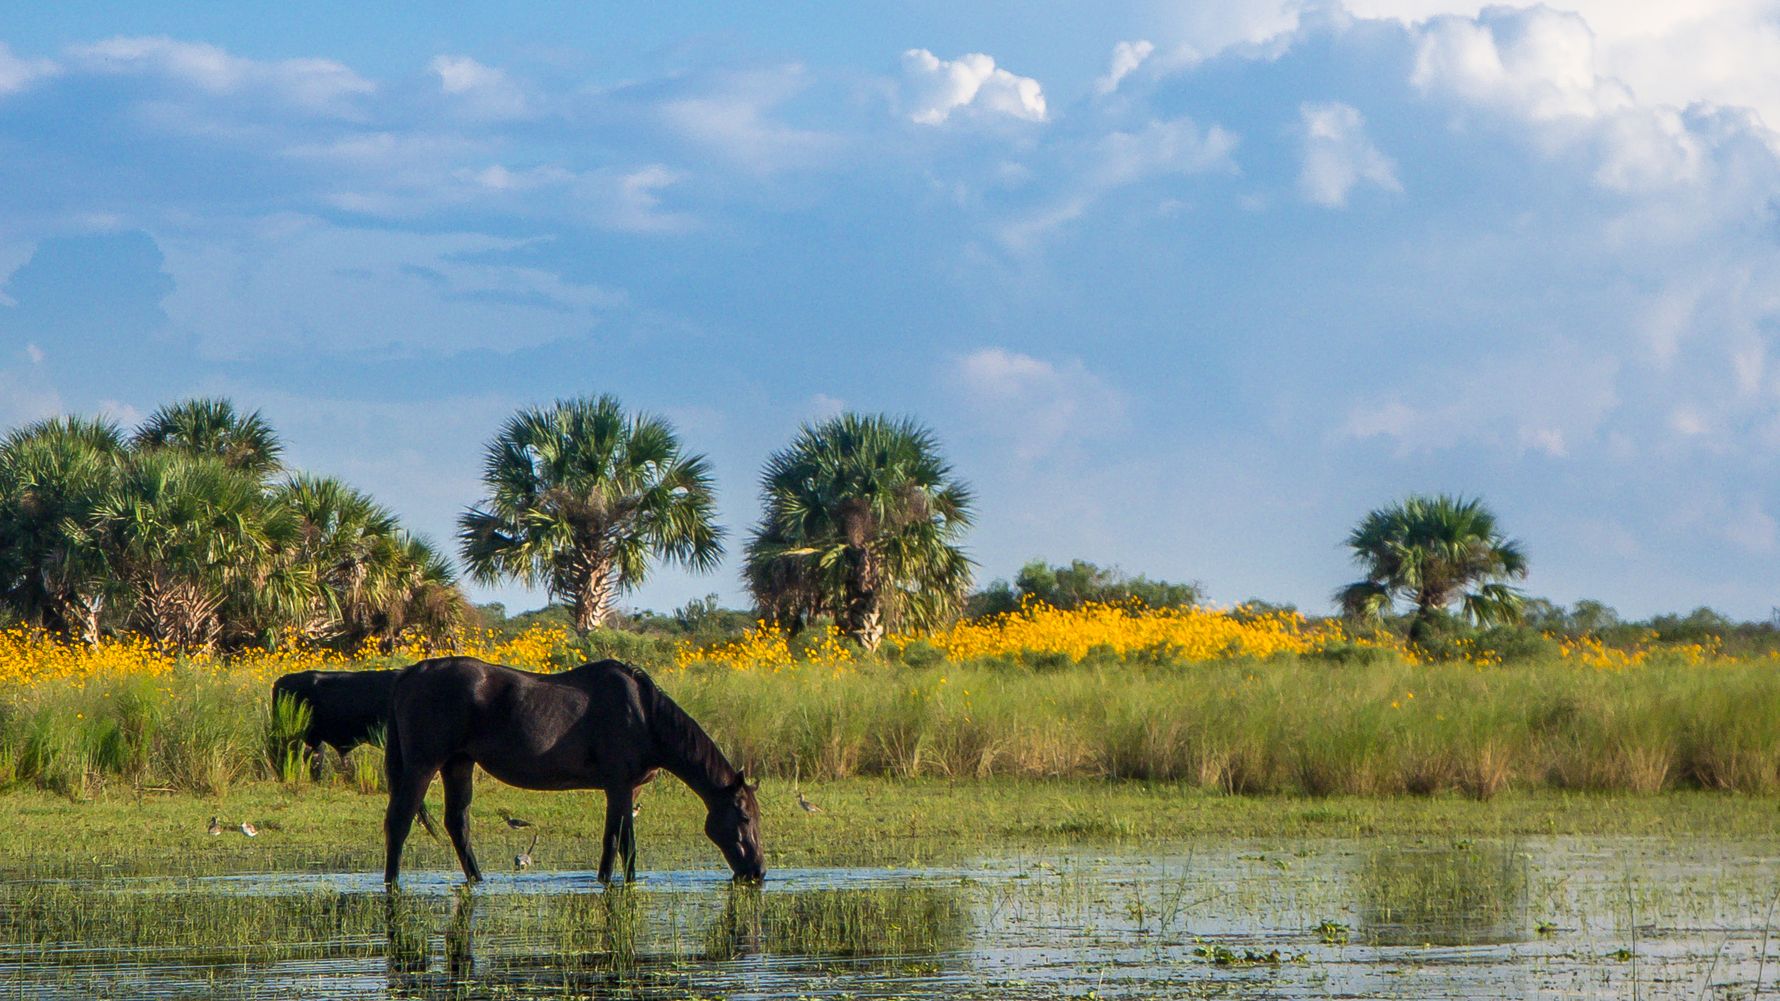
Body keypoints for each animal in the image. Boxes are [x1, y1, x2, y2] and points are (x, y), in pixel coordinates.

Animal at [381, 656, 762, 887]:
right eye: (744, 817)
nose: (758, 870)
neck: (644, 715)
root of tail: (410, 674)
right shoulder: (620, 786)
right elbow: (624, 842)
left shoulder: (625, 790)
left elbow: (615, 839)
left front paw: (609, 880)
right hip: (423, 765)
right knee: (399, 822)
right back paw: (391, 882)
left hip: (458, 764)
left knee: (457, 825)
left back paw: (477, 879)